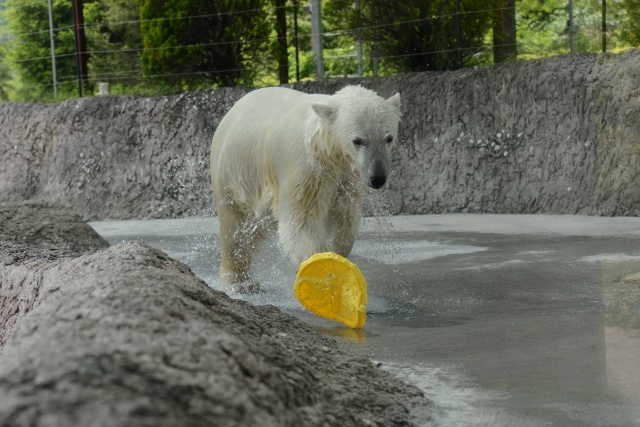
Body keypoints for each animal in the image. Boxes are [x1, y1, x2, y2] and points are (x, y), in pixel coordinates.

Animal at [210, 85, 400, 292]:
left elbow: (344, 216)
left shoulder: (347, 177)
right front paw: (323, 267)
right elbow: (301, 219)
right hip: (233, 174)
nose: (378, 178)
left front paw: (337, 251)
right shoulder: (306, 169)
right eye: (358, 140)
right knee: (234, 228)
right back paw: (240, 282)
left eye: (388, 138)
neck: (325, 150)